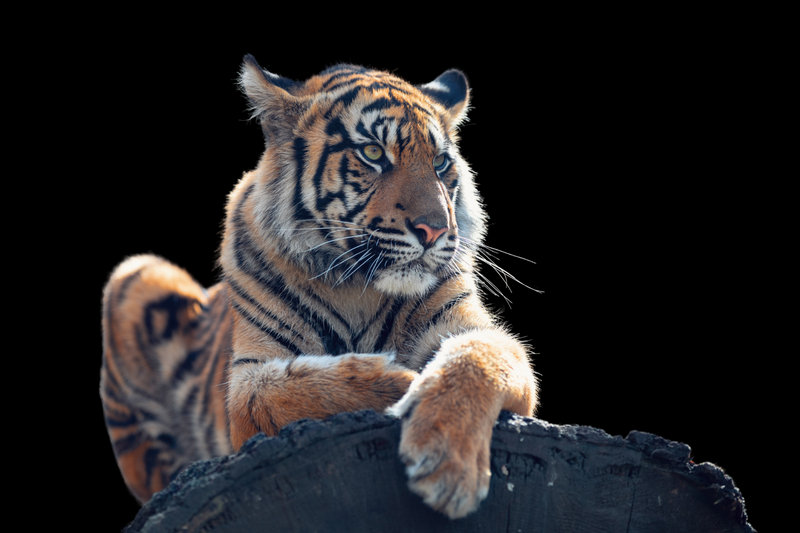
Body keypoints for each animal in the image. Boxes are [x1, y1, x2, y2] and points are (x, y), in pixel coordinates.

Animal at [100, 54, 538, 520]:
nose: (435, 230)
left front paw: (446, 465)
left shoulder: (475, 329)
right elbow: (287, 391)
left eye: (440, 162)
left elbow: (476, 360)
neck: (358, 287)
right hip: (137, 274)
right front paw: (402, 381)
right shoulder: (247, 378)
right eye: (372, 153)